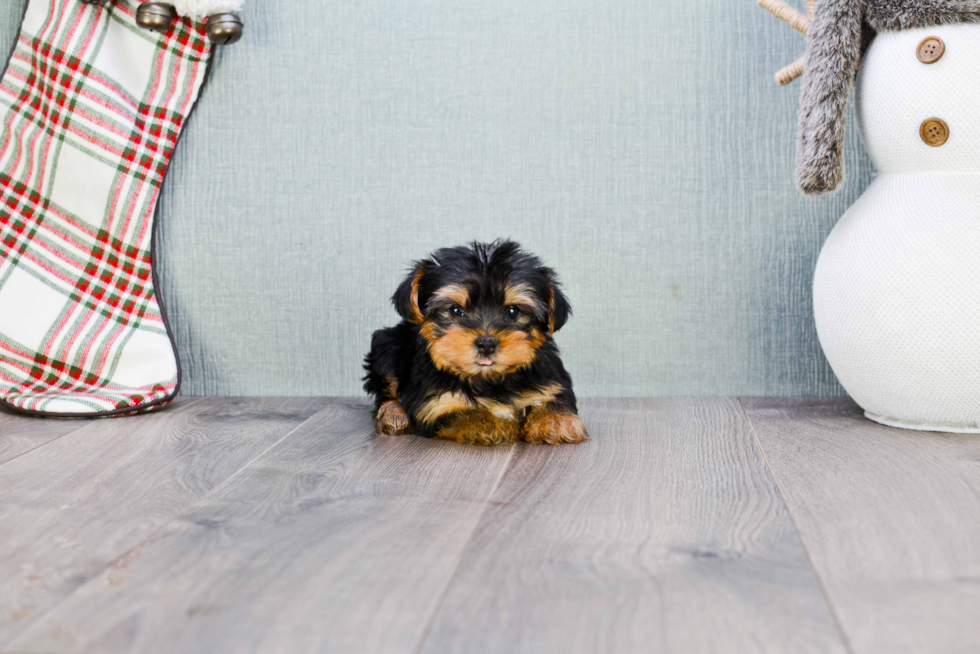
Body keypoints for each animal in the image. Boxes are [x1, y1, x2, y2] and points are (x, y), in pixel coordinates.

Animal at [362, 242, 584, 452]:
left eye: (513, 311)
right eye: (455, 310)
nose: (486, 344)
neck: (488, 379)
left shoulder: (551, 380)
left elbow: (555, 397)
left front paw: (556, 421)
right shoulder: (435, 403)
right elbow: (464, 413)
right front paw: (495, 424)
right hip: (387, 345)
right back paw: (393, 413)